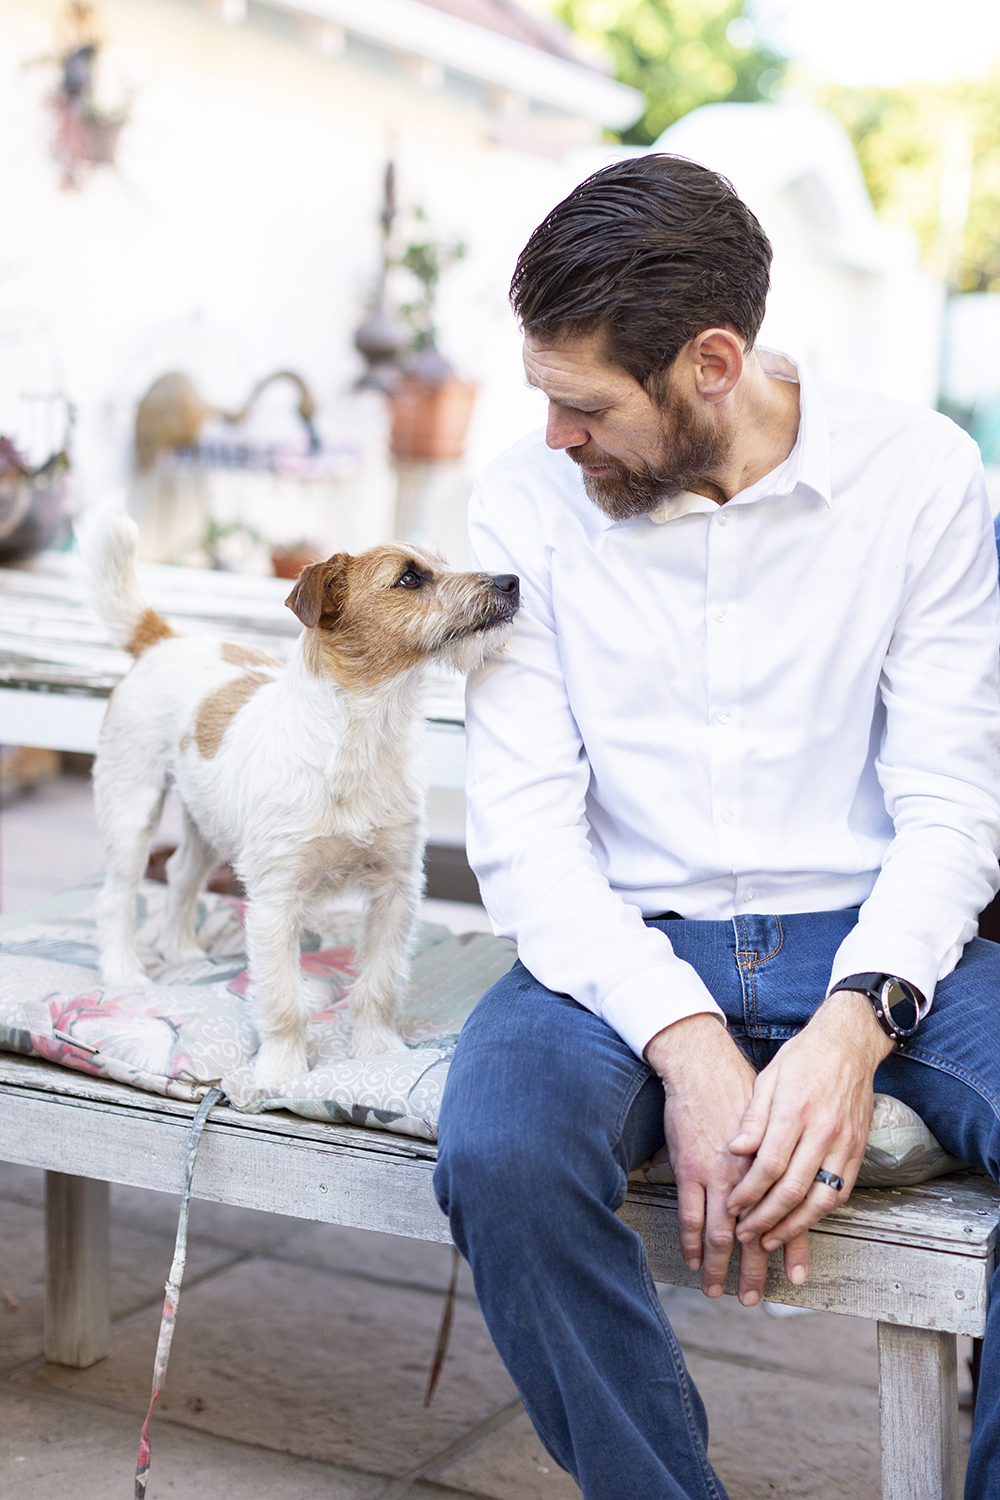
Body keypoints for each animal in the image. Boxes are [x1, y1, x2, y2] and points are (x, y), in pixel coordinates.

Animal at [81, 510, 521, 1086]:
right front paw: (282, 1071)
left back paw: (181, 949)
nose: (513, 581)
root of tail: (163, 640)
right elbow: (282, 999)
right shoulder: (275, 902)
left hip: (208, 822)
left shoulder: (395, 889)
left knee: (180, 874)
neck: (360, 734)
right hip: (131, 808)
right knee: (115, 896)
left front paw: (375, 1050)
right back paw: (125, 973)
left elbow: (379, 982)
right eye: (409, 578)